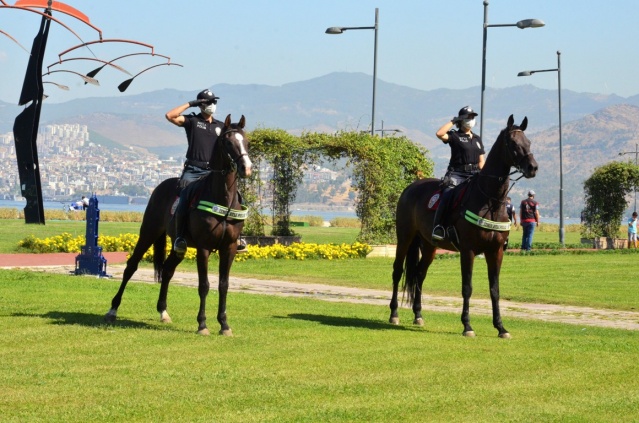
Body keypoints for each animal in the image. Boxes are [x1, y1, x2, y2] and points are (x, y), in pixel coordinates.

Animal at [104, 114, 251, 336]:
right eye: (228, 142)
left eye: (247, 141)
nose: (246, 168)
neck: (222, 198)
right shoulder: (203, 248)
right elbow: (204, 285)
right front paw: (202, 324)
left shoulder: (230, 247)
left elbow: (224, 285)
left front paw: (224, 324)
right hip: (148, 233)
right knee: (131, 267)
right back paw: (113, 309)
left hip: (178, 246)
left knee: (167, 270)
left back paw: (163, 311)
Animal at [392, 115, 536, 338]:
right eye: (513, 143)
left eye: (528, 142)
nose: (532, 167)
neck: (490, 200)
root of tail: (411, 187)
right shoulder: (468, 251)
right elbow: (467, 287)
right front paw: (467, 325)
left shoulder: (495, 251)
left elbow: (495, 289)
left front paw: (500, 327)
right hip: (405, 238)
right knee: (398, 270)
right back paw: (394, 314)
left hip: (429, 246)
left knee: (419, 274)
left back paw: (418, 315)